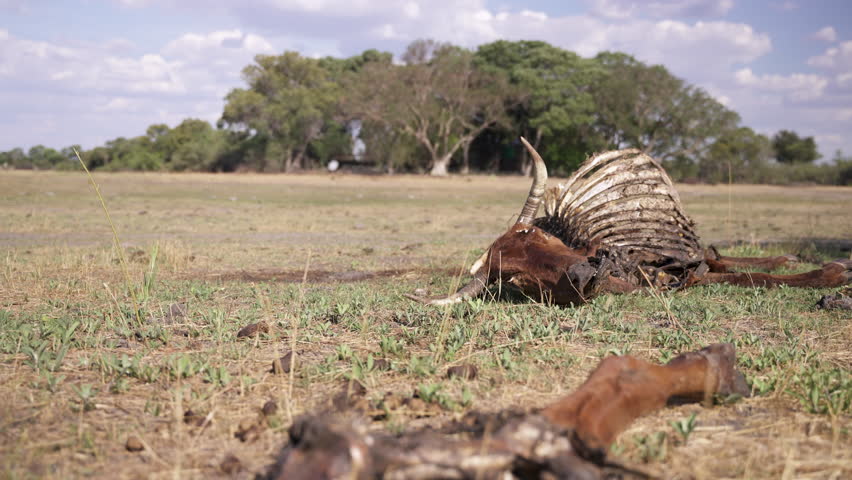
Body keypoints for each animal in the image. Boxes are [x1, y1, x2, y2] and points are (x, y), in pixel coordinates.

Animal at [407, 138, 851, 306]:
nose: (583, 275)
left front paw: (829, 270)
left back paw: (790, 257)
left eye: (532, 233)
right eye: (516, 278)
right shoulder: (666, 282)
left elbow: (744, 273)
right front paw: (830, 273)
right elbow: (745, 278)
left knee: (716, 256)